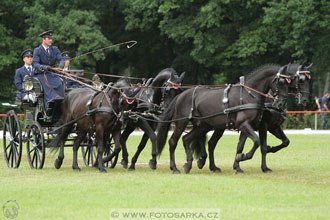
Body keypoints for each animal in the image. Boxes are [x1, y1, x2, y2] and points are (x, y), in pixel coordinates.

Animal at [157, 63, 292, 174]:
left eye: (289, 83)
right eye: (281, 82)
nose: (281, 104)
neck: (249, 95)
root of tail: (181, 95)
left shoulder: (249, 126)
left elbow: (242, 146)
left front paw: (239, 164)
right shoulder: (246, 125)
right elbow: (257, 142)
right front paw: (242, 158)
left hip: (202, 126)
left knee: (187, 139)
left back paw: (190, 164)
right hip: (181, 123)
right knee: (173, 142)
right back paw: (175, 168)